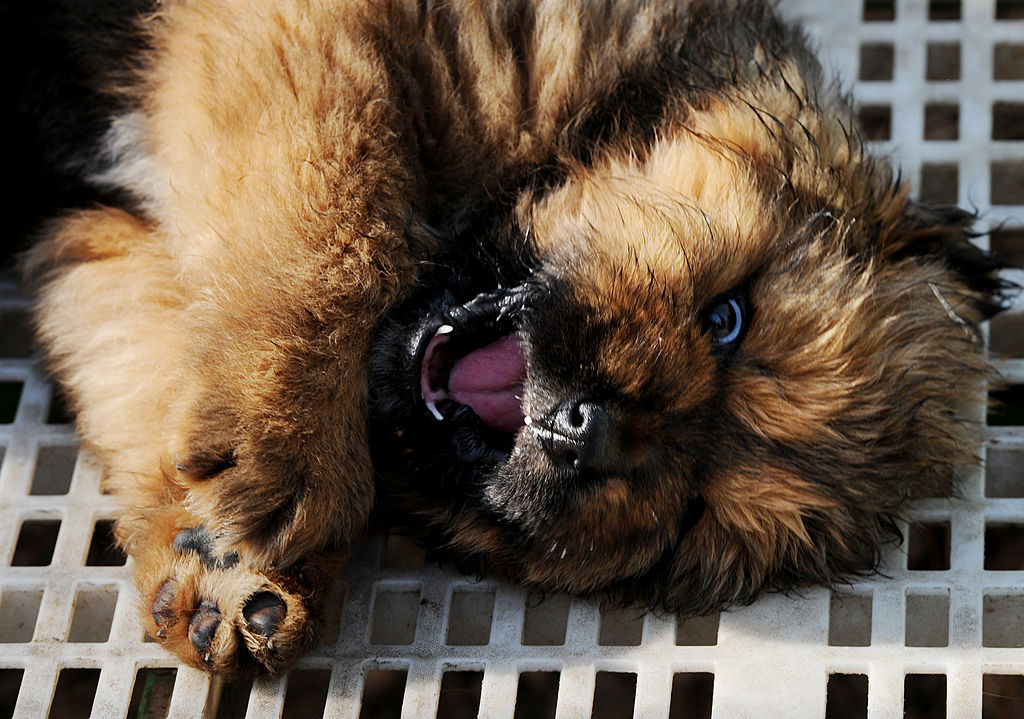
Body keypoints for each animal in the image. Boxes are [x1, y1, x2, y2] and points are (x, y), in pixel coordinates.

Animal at [22, 0, 1007, 680]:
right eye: (728, 317)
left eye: (693, 509)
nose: (586, 429)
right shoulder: (312, 29)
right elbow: (335, 204)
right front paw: (283, 444)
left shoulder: (100, 238)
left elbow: (142, 351)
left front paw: (223, 576)